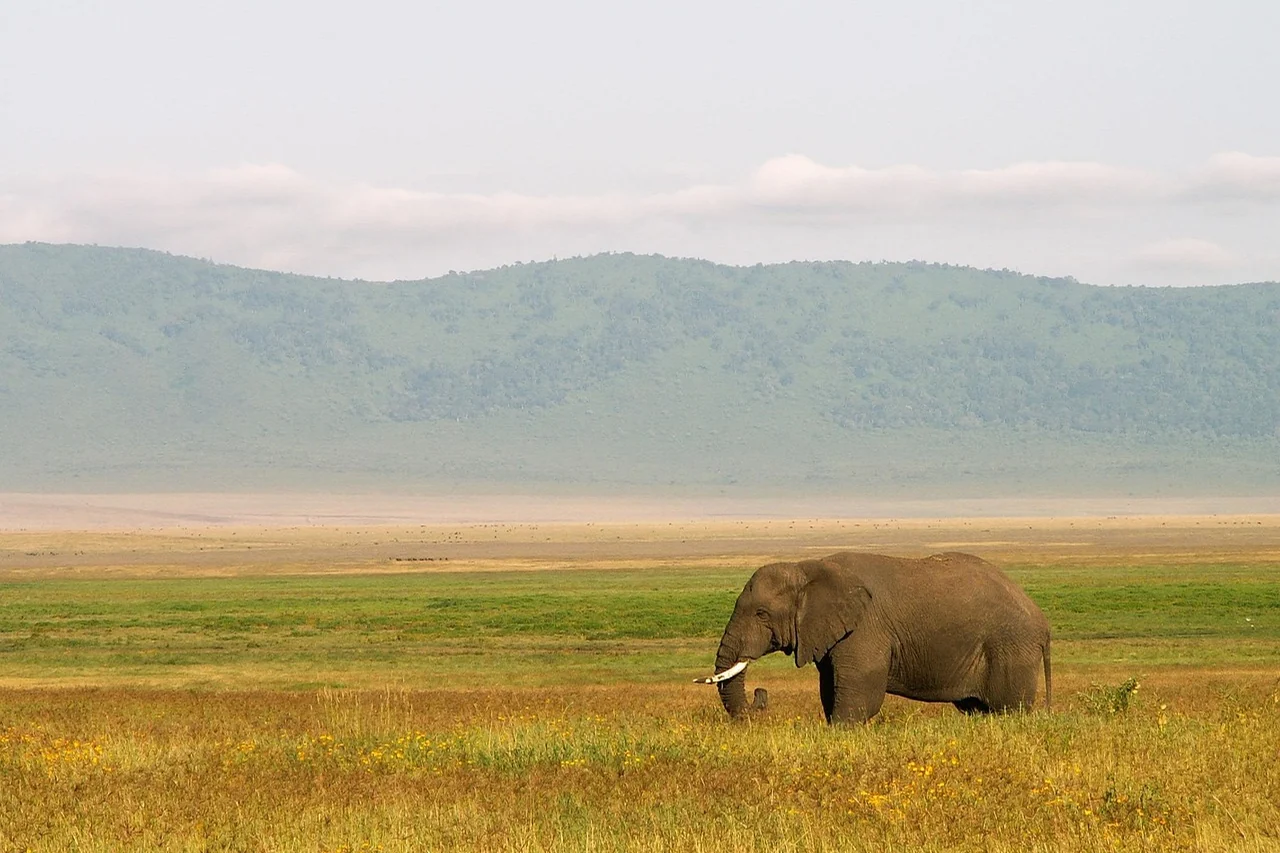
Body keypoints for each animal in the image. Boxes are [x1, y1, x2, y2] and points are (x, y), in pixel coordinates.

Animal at [696, 551, 1051, 724]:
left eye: (761, 613)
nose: (761, 694)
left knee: (1008, 709)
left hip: (1010, 647)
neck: (808, 567)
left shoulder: (866, 628)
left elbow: (858, 697)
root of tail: (1041, 620)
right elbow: (830, 690)